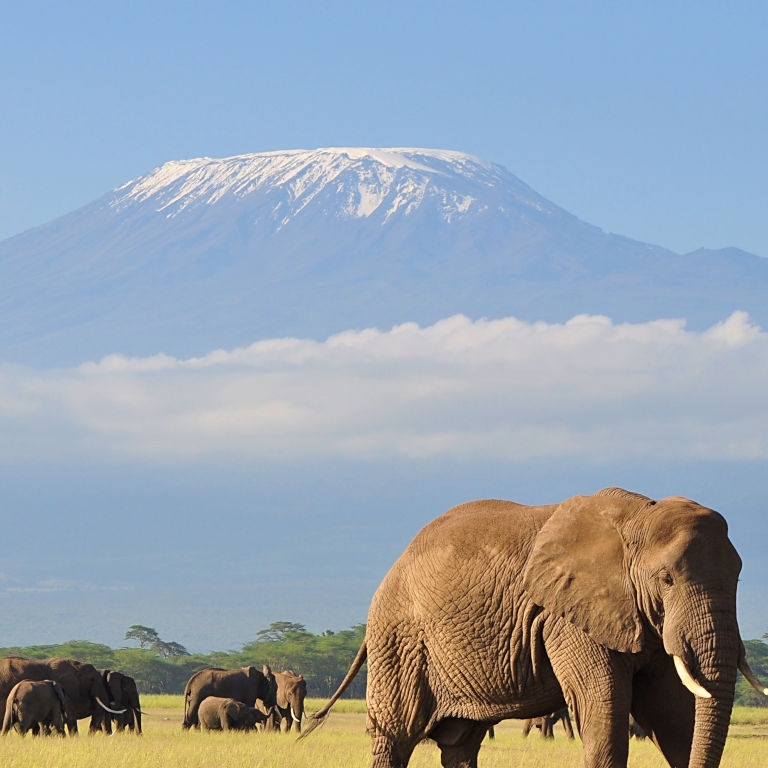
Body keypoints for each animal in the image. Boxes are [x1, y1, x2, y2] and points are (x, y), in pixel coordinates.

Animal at [306, 488, 768, 764]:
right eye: (667, 579)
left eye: (739, 577)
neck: (637, 518)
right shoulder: (566, 617)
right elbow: (604, 711)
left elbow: (673, 716)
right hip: (399, 640)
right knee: (395, 736)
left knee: (459, 743)